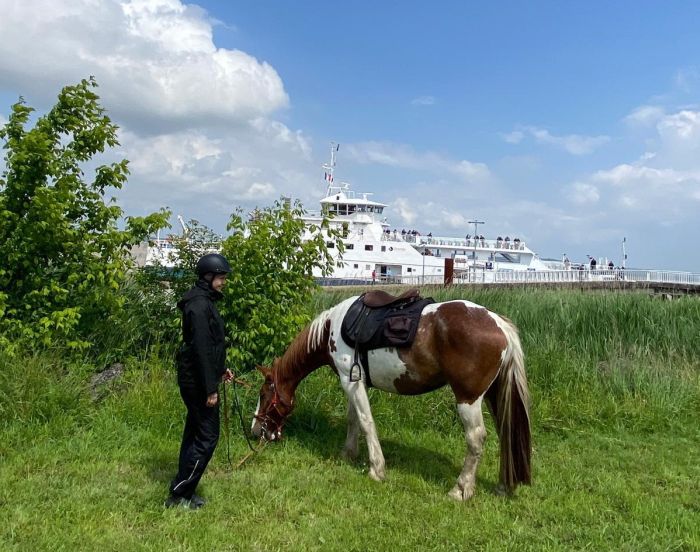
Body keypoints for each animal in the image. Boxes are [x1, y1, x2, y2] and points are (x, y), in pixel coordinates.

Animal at [252, 296, 532, 502]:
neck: (332, 327)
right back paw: (502, 486)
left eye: (264, 394)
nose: (256, 431)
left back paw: (461, 489)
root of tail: (498, 324)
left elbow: (366, 422)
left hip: (468, 399)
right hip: (494, 396)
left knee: (476, 439)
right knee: (505, 434)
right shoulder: (352, 382)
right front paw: (348, 454)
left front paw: (376, 469)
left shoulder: (350, 381)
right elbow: (353, 420)